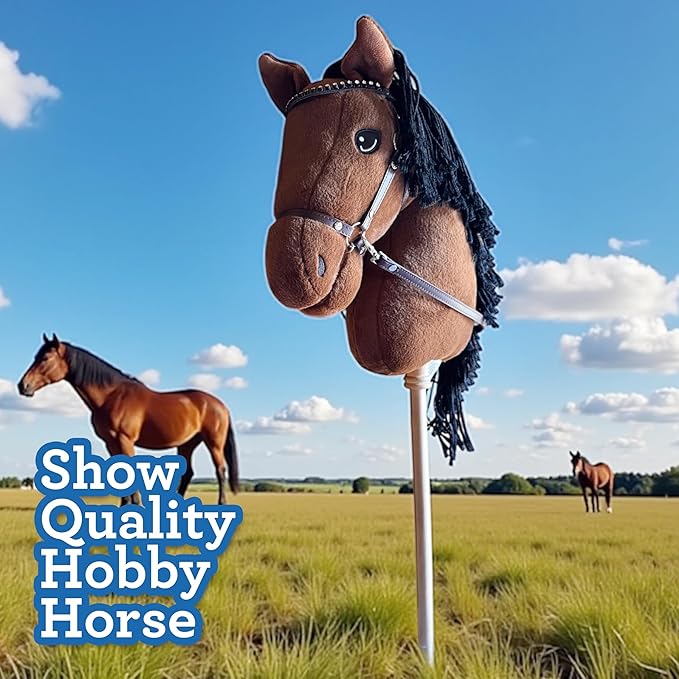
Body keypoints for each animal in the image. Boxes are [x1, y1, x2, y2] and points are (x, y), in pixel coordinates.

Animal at [17, 334, 239, 505]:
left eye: (46, 358)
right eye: (36, 356)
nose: (23, 386)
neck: (111, 395)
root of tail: (220, 405)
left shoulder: (125, 440)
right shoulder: (111, 443)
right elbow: (120, 475)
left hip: (214, 442)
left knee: (220, 470)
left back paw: (221, 504)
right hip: (187, 443)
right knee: (188, 474)